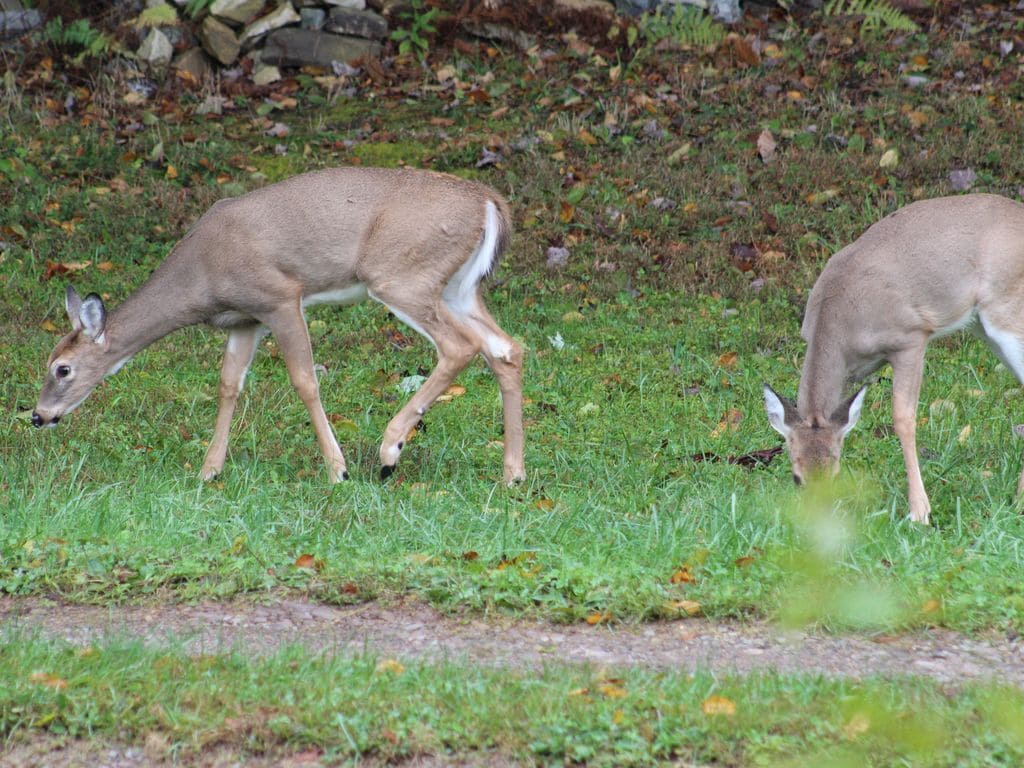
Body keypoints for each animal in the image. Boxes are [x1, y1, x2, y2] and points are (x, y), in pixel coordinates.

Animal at [32, 167, 526, 485]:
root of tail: (490, 203)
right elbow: (228, 384)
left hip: (400, 276)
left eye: (62, 369)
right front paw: (209, 470)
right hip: (457, 287)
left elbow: (305, 380)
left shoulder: (280, 297)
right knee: (505, 347)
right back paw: (513, 475)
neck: (202, 278)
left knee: (460, 346)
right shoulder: (244, 320)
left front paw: (338, 470)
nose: (38, 416)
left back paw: (389, 452)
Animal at [763, 193, 1024, 525]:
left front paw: (919, 511)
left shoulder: (910, 338)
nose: (816, 520)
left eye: (834, 475)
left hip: (1007, 309)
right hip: (984, 326)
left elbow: (902, 418)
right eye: (797, 478)